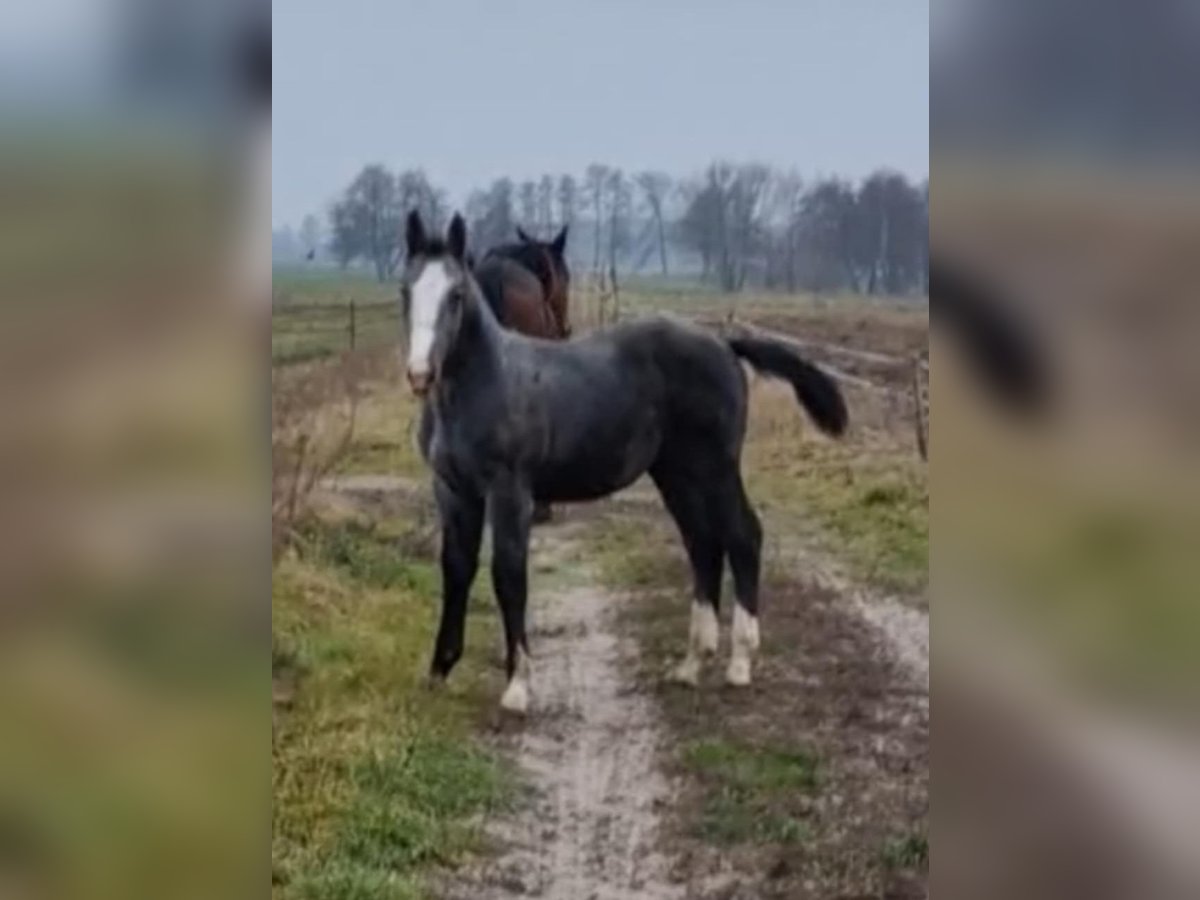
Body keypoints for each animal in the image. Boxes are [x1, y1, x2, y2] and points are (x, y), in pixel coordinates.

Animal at [398, 210, 849, 710]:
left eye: (456, 295)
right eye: (406, 291)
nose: (420, 374)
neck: (486, 382)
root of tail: (724, 344)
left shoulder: (509, 490)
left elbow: (508, 574)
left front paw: (518, 685)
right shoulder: (453, 491)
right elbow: (456, 568)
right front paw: (439, 671)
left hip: (715, 467)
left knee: (743, 535)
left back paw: (739, 663)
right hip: (677, 473)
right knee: (703, 543)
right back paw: (692, 663)